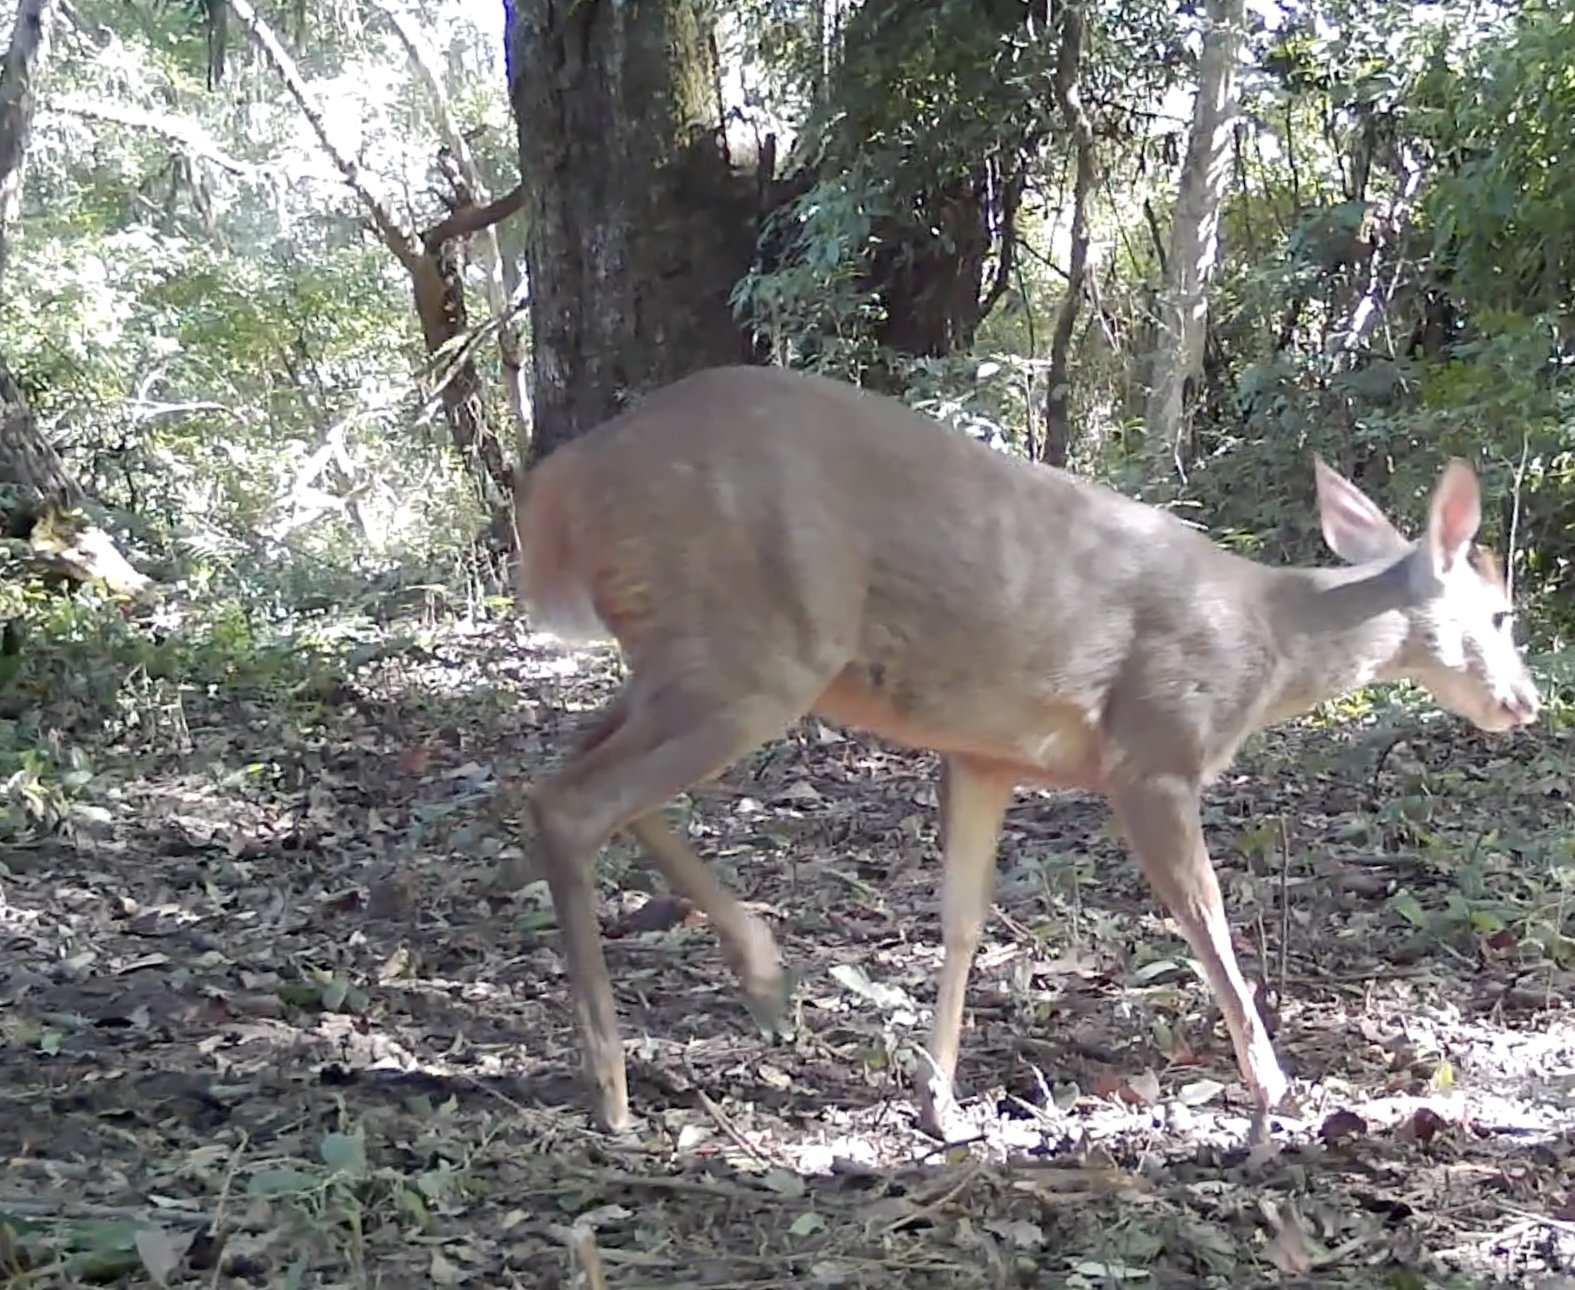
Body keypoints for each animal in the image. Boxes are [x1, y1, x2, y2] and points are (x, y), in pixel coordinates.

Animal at [509, 363, 1540, 1141]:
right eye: (1497, 615)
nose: (1524, 703)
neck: (1269, 640)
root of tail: (558, 491)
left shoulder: (985, 754)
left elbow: (962, 918)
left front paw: (938, 1101)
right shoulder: (1154, 749)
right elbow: (1203, 920)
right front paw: (1274, 1089)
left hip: (688, 657)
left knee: (562, 767)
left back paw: (763, 981)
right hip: (751, 651)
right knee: (570, 803)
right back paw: (612, 1088)